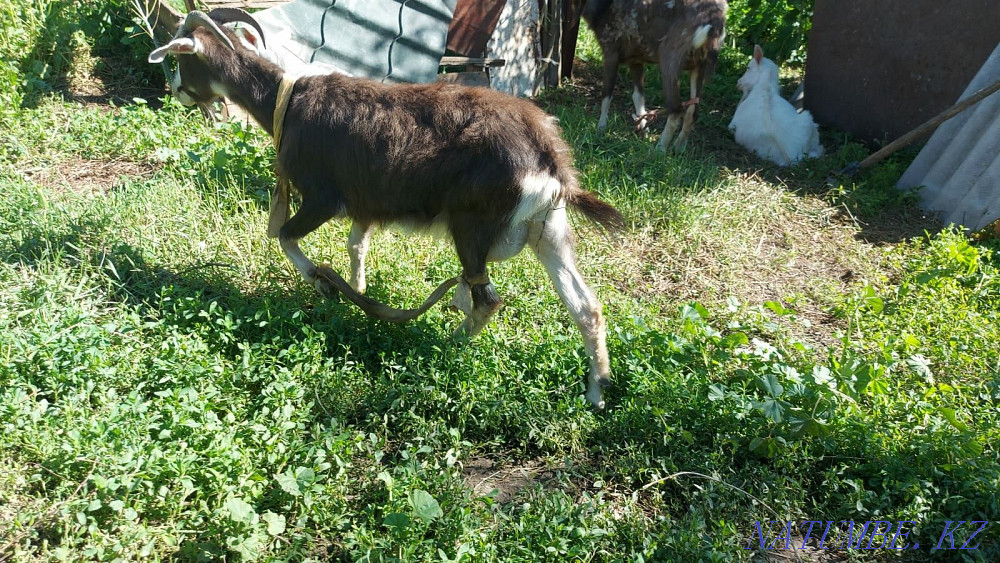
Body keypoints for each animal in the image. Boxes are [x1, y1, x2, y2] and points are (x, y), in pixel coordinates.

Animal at [148, 10, 625, 409]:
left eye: (179, 58)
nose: (177, 94)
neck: (284, 101)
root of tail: (549, 158)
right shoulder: (366, 202)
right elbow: (356, 245)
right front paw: (356, 291)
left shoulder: (323, 196)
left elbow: (284, 236)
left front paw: (322, 283)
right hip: (549, 230)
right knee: (586, 307)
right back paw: (597, 389)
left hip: (472, 223)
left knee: (487, 298)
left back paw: (448, 342)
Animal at [582, 0, 727, 152]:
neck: (603, 8)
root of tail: (714, 23)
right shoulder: (635, 59)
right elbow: (638, 96)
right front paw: (643, 129)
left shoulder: (610, 49)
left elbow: (607, 93)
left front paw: (600, 128)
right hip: (699, 65)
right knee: (693, 111)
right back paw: (678, 148)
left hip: (669, 56)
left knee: (676, 108)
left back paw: (660, 149)